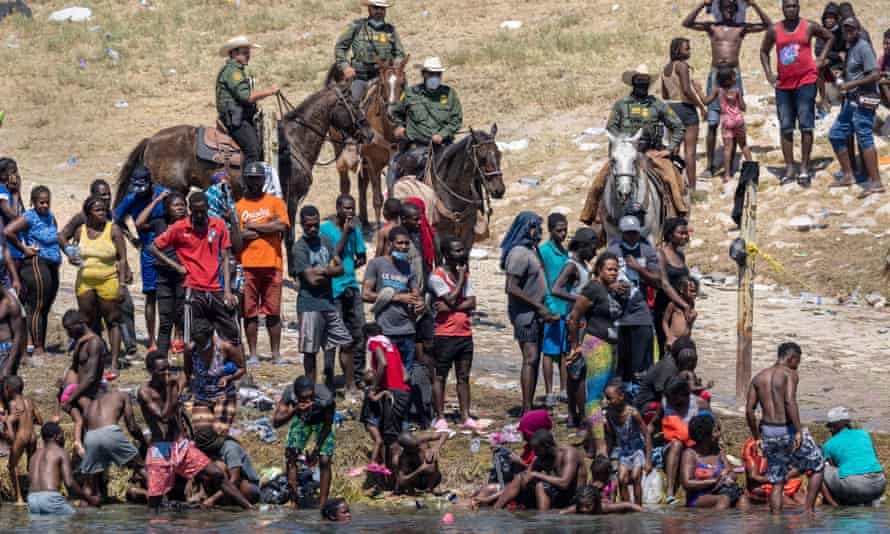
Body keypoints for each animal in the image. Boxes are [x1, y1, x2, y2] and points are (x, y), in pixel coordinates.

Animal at [326, 57, 410, 228]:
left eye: (403, 83)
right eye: (383, 84)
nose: (393, 112)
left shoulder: (393, 163)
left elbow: (391, 198)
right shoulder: (373, 163)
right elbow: (378, 199)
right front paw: (379, 229)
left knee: (362, 184)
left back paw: (364, 220)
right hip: (340, 149)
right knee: (345, 183)